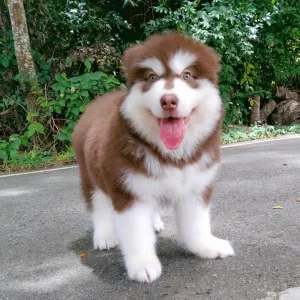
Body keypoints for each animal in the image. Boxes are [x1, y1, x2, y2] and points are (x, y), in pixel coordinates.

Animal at [72, 32, 234, 284]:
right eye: (152, 77)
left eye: (187, 75)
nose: (168, 100)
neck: (172, 155)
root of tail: (98, 101)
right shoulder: (128, 189)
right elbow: (136, 233)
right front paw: (143, 265)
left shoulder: (196, 183)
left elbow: (197, 223)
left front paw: (206, 246)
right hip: (90, 174)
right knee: (98, 205)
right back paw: (105, 235)